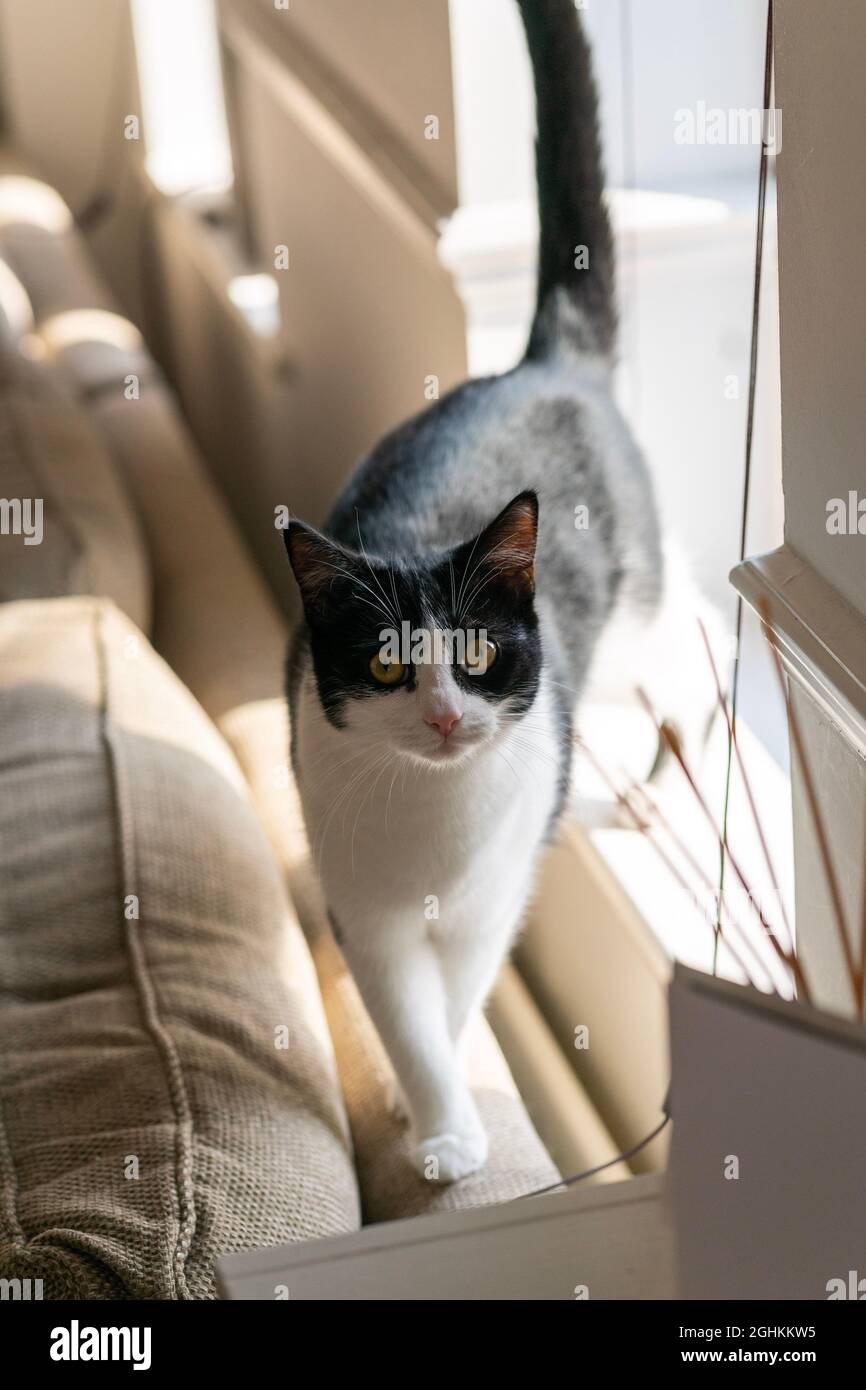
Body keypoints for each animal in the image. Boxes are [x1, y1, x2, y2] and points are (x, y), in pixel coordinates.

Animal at [284, 0, 664, 1184]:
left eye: (481, 654)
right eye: (386, 665)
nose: (450, 717)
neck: (432, 818)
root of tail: (545, 365)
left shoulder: (489, 896)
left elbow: (454, 997)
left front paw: (447, 1122)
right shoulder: (364, 904)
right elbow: (406, 1013)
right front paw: (443, 1126)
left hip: (648, 611)